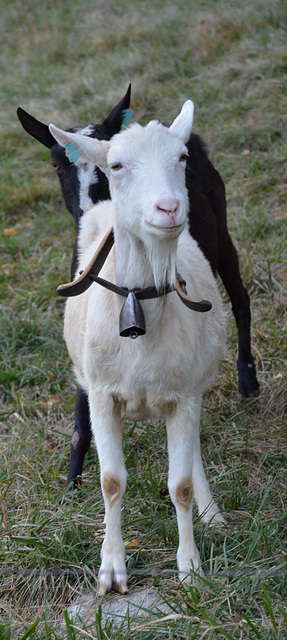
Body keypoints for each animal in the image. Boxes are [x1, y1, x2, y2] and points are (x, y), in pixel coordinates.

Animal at [18, 89, 260, 490]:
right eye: (56, 164)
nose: (88, 210)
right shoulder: (87, 334)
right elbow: (84, 408)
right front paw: (72, 480)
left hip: (222, 234)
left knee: (241, 301)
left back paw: (248, 378)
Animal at [49, 101, 228, 596]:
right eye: (116, 165)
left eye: (182, 158)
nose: (169, 207)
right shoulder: (101, 395)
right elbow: (111, 481)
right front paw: (111, 571)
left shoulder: (184, 395)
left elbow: (179, 484)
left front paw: (190, 567)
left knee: (192, 456)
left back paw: (212, 513)